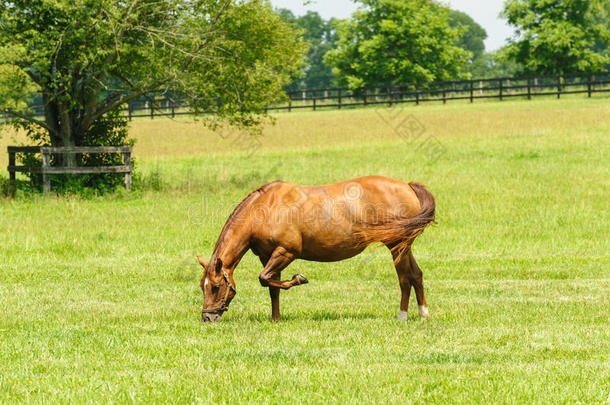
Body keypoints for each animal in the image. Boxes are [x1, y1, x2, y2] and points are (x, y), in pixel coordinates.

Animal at [197, 175, 434, 320]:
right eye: (202, 286)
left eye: (216, 286)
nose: (207, 317)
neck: (266, 208)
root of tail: (408, 186)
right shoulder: (267, 256)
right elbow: (272, 286)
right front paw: (275, 319)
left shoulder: (286, 252)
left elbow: (265, 278)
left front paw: (299, 279)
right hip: (402, 246)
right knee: (416, 274)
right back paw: (422, 314)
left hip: (397, 245)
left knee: (405, 277)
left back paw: (403, 316)